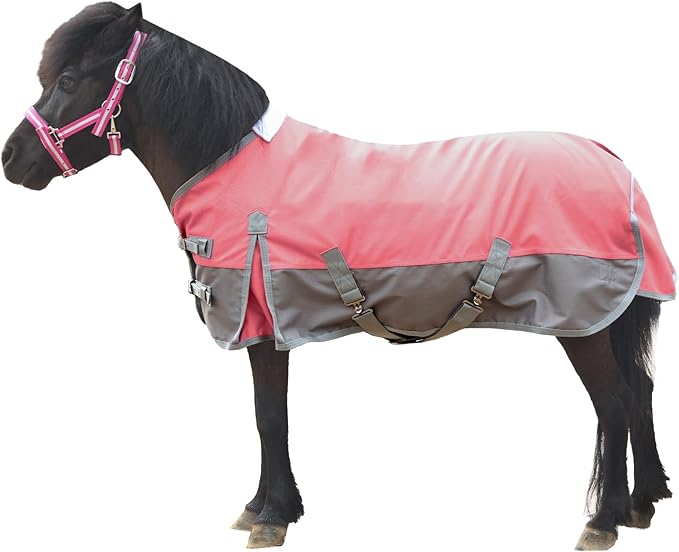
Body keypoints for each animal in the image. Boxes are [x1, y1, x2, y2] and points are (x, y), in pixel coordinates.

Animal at [1, 3, 674, 550]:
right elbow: (268, 416)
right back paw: (643, 504)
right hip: (608, 318)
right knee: (639, 393)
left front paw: (272, 516)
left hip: (583, 324)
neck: (229, 164)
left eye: (67, 80)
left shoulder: (262, 325)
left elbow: (269, 415)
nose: (11, 160)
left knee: (614, 403)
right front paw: (263, 507)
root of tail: (615, 165)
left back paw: (604, 520)